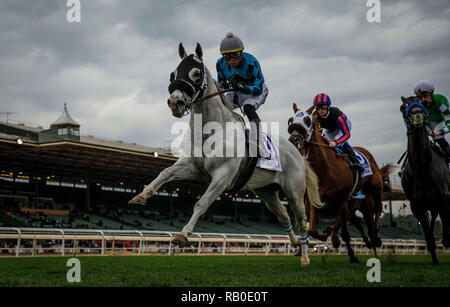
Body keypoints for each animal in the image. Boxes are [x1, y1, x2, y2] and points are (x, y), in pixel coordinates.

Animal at [127, 43, 324, 268]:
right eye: (173, 73)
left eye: (196, 73)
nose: (175, 102)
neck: (211, 131)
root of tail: (297, 154)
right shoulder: (190, 166)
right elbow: (165, 173)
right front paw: (141, 196)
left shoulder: (222, 177)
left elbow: (201, 203)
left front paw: (183, 235)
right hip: (266, 191)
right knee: (283, 216)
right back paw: (295, 243)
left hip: (294, 193)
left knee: (302, 222)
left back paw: (305, 257)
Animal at [288, 104, 384, 264]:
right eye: (290, 120)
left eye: (307, 120)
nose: (293, 139)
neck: (326, 168)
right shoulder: (315, 199)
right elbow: (312, 230)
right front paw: (326, 235)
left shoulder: (342, 201)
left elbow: (345, 233)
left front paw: (352, 255)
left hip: (375, 189)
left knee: (377, 210)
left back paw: (376, 237)